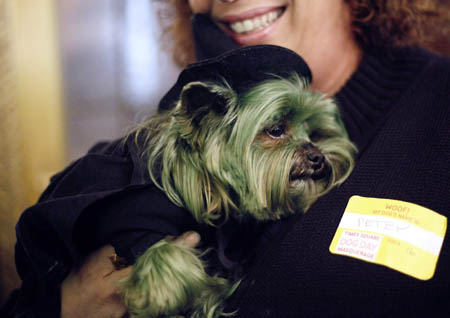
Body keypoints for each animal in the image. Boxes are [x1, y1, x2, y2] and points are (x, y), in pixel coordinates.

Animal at [118, 71, 356, 316]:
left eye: (315, 135)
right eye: (276, 130)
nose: (318, 157)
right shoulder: (141, 222)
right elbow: (161, 256)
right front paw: (165, 298)